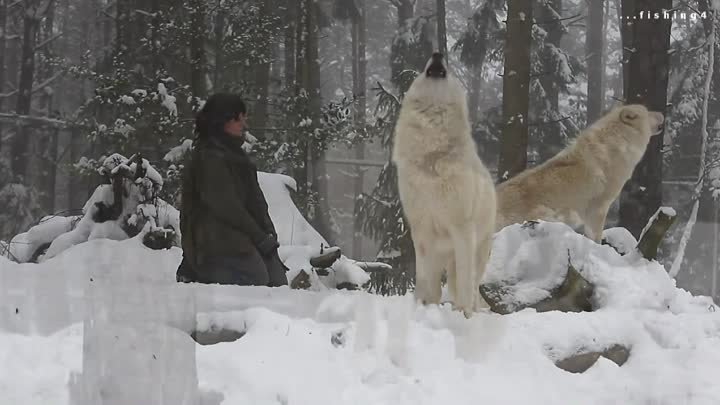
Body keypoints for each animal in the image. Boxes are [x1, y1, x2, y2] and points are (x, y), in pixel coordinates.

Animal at [390, 52, 498, 316]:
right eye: (425, 67)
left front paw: (463, 314)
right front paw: (422, 306)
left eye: (447, 68)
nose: (438, 53)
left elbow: (465, 284)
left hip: (477, 249)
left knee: (471, 284)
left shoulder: (462, 229)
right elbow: (424, 278)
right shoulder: (421, 231)